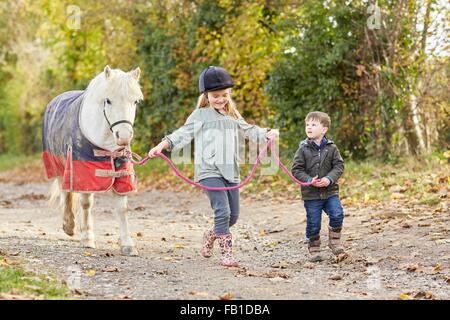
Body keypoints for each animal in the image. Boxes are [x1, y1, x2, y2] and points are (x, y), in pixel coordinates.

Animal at [43, 66, 143, 256]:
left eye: (135, 101)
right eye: (108, 101)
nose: (124, 137)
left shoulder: (121, 172)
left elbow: (122, 208)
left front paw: (127, 244)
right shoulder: (83, 169)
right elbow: (86, 204)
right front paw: (88, 238)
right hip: (59, 164)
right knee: (65, 191)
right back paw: (69, 226)